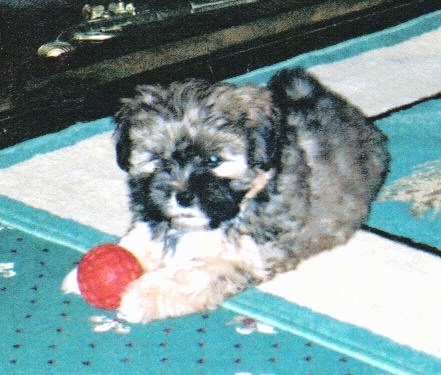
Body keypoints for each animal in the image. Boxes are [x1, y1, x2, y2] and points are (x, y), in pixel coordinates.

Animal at [62, 69, 388, 324]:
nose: (183, 196)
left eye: (214, 160)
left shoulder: (243, 255)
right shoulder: (154, 220)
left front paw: (145, 294)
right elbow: (138, 242)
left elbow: (192, 274)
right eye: (160, 160)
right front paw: (84, 275)